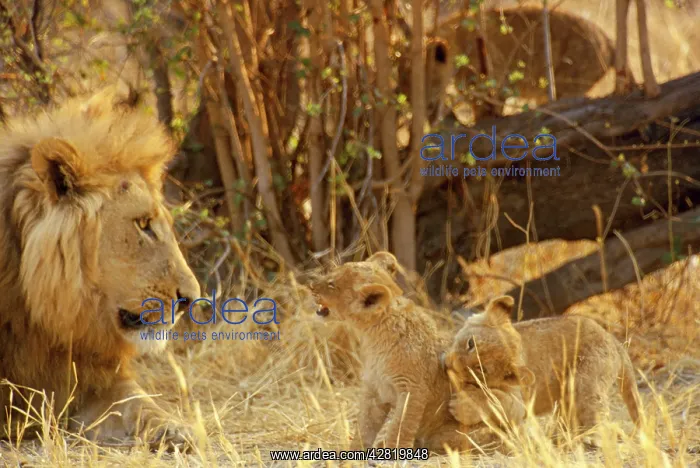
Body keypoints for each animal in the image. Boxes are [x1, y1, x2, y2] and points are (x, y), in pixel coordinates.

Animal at [308, 252, 490, 452]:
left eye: (331, 284)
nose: (311, 286)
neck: (372, 338)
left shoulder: (412, 389)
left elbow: (400, 427)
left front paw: (394, 452)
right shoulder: (375, 390)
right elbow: (364, 426)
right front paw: (354, 451)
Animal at [444, 295, 641, 440]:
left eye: (481, 369)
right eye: (470, 343)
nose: (451, 365)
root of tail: (612, 339)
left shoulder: (520, 404)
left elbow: (496, 400)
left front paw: (462, 406)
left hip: (586, 382)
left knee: (597, 413)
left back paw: (591, 439)